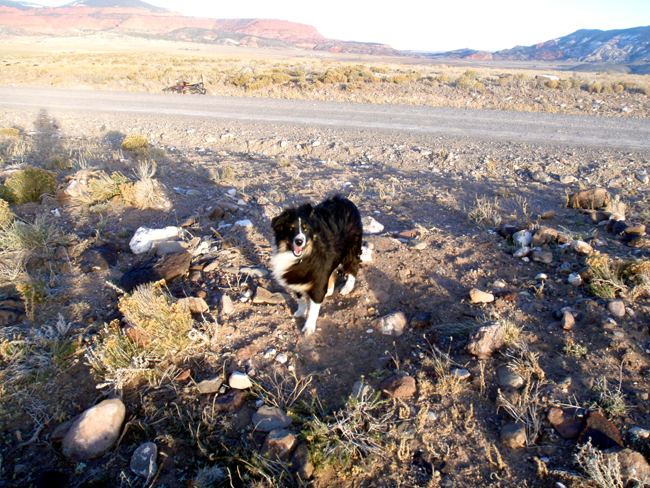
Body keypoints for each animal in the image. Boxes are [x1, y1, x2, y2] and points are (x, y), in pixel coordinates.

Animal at [270, 195, 363, 335]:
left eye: (306, 229)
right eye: (291, 228)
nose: (299, 241)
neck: (303, 256)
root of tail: (344, 199)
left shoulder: (316, 280)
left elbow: (313, 309)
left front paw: (308, 327)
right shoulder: (298, 279)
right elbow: (301, 299)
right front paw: (300, 312)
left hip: (350, 248)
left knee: (353, 267)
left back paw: (347, 288)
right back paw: (329, 290)